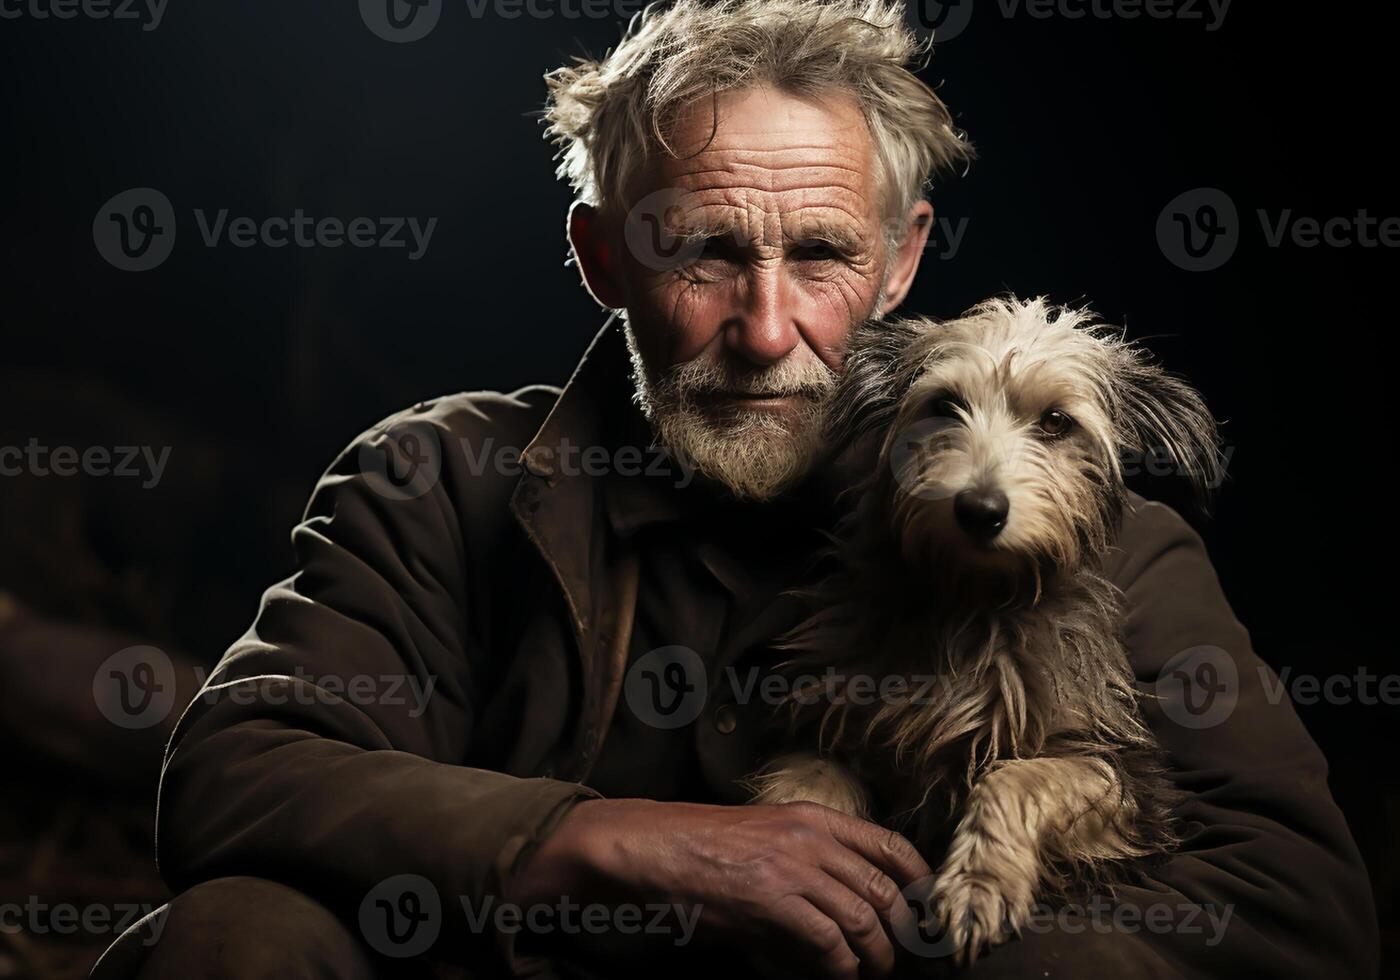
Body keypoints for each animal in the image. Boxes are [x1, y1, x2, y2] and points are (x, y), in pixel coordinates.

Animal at [750, 296, 1220, 963]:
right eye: (944, 405)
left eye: (1056, 422)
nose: (979, 510)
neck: (971, 601)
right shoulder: (820, 728)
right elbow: (802, 798)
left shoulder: (1130, 787)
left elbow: (1017, 775)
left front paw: (980, 882)